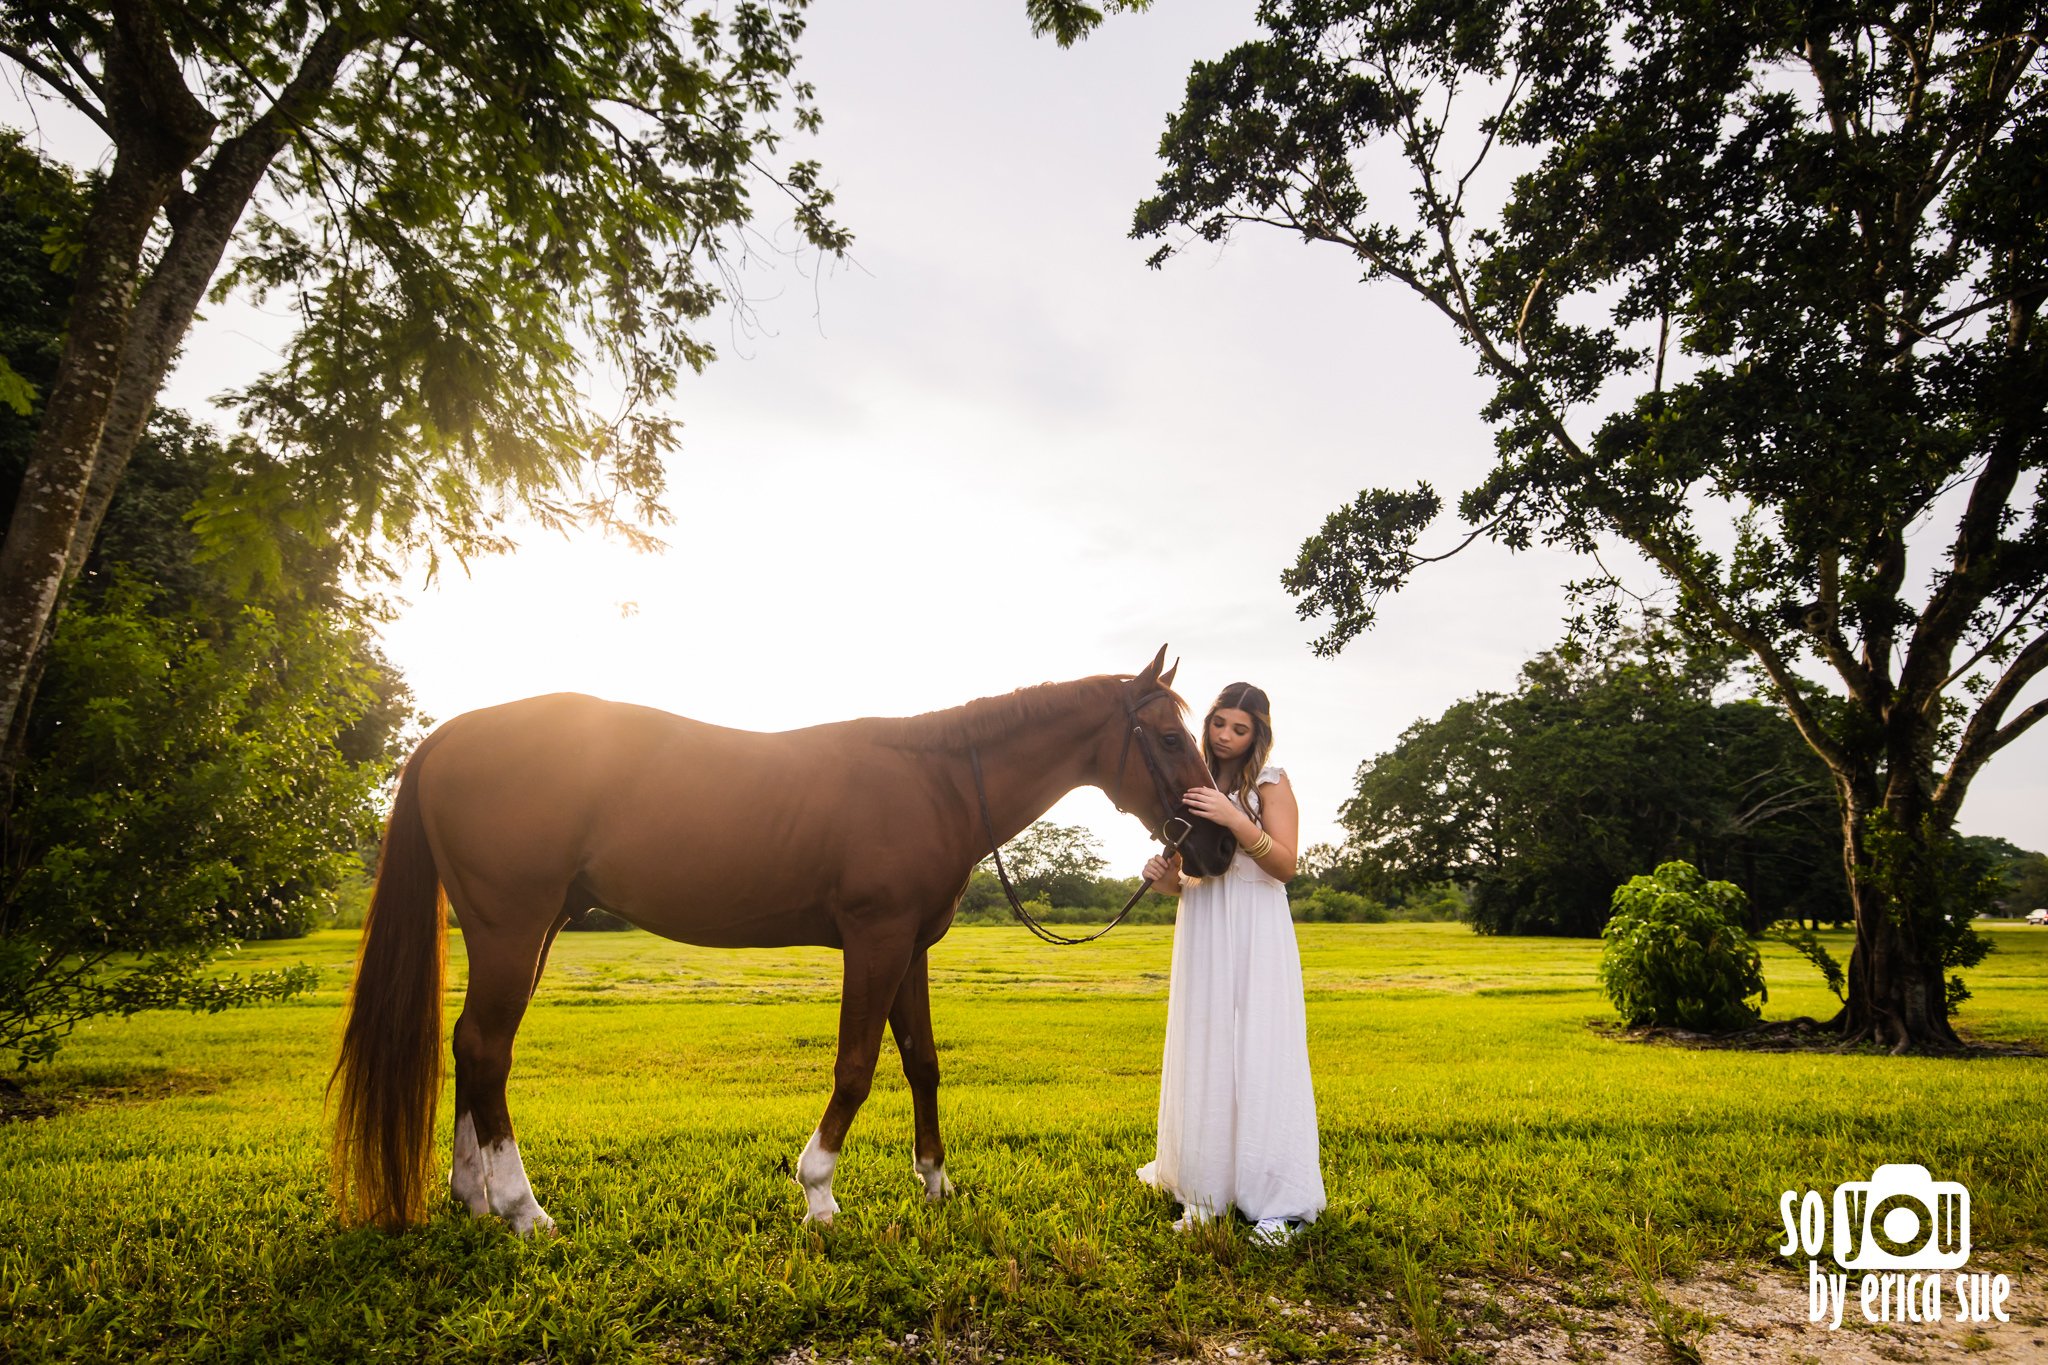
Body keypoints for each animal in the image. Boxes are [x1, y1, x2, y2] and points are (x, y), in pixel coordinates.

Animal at [327, 646, 1220, 1236]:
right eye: (1170, 739)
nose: (1213, 847)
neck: (931, 780)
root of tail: (449, 734)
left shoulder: (912, 947)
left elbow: (922, 1063)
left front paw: (935, 1180)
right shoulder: (874, 938)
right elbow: (856, 1065)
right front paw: (818, 1187)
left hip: (524, 929)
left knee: (468, 1043)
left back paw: (474, 1195)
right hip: (515, 927)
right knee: (486, 1048)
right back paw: (522, 1207)